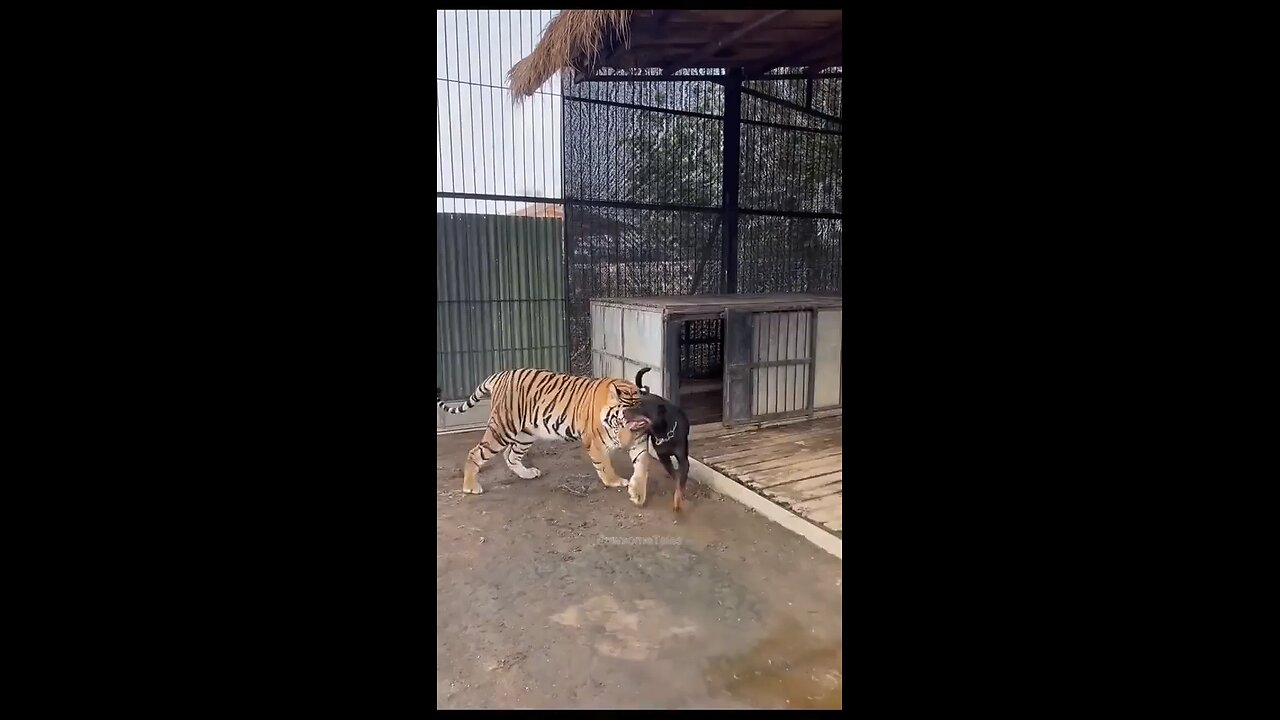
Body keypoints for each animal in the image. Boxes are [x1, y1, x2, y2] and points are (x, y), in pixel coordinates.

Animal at [440, 366, 655, 502]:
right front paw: (615, 481)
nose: (624, 445)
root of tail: (501, 374)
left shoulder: (639, 442)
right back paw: (470, 487)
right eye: (621, 421)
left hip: (526, 434)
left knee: (510, 455)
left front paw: (637, 493)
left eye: (637, 423)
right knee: (476, 453)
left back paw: (527, 474)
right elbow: (605, 465)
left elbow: (642, 465)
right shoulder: (594, 442)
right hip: (502, 429)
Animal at [627, 368, 691, 509]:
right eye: (634, 404)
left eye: (640, 407)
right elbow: (675, 477)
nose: (623, 411)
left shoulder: (683, 460)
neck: (665, 433)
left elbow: (680, 481)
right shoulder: (663, 457)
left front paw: (679, 498)